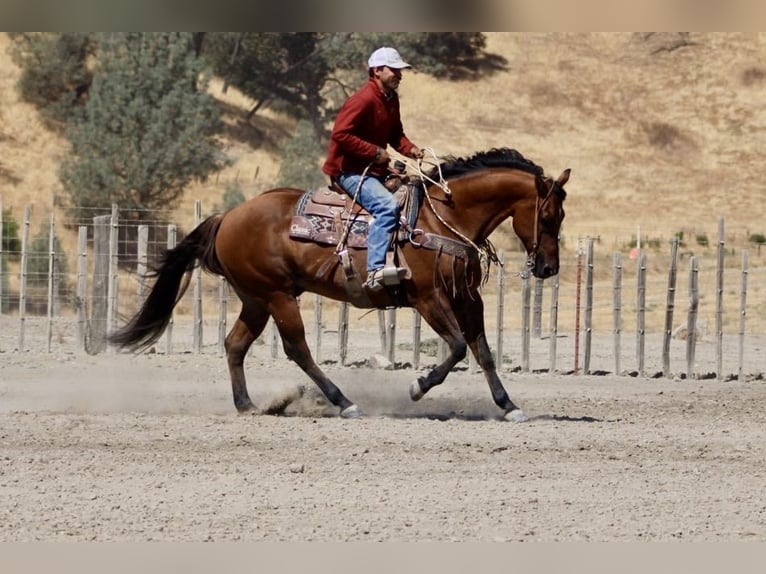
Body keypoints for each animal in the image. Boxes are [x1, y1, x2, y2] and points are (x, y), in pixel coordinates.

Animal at [108, 148, 569, 422]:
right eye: (548, 216)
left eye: (560, 217)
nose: (548, 268)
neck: (444, 218)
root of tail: (228, 216)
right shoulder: (428, 298)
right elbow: (457, 348)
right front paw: (416, 387)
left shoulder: (467, 298)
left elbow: (483, 351)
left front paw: (509, 406)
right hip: (276, 295)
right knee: (297, 348)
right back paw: (343, 402)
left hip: (255, 298)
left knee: (235, 344)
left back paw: (248, 405)